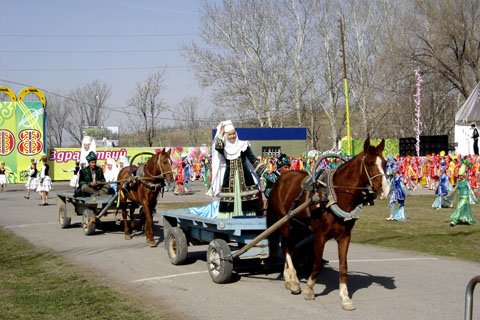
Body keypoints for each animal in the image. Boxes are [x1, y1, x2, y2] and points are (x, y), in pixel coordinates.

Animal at [268, 138, 388, 310]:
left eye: (385, 163)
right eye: (370, 163)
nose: (385, 190)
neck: (334, 196)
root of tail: (281, 178)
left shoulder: (345, 236)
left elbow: (343, 267)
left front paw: (345, 297)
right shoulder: (320, 235)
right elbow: (317, 264)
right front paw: (309, 289)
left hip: (298, 226)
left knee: (289, 248)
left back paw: (289, 279)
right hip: (285, 223)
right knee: (286, 249)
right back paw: (294, 281)